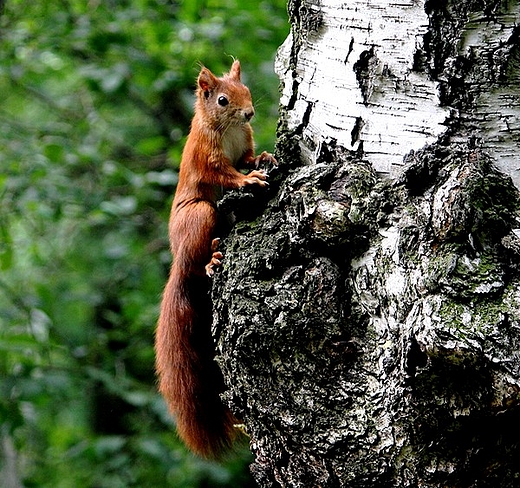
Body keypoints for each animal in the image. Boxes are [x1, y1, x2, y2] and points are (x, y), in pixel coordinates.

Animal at [154, 60, 276, 458]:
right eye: (222, 100)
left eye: (247, 91)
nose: (250, 113)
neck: (229, 128)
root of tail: (177, 260)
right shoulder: (206, 156)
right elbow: (225, 173)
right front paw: (249, 179)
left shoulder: (243, 143)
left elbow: (247, 157)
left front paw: (264, 159)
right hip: (200, 215)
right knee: (198, 255)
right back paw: (209, 260)